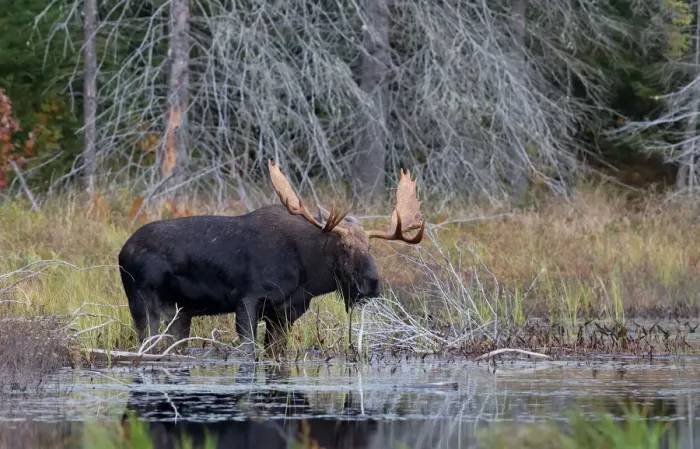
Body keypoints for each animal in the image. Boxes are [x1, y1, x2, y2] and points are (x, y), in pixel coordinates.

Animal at [117, 159, 426, 358]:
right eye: (344, 246)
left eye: (370, 246)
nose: (372, 283)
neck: (306, 275)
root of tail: (122, 251)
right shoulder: (248, 298)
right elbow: (247, 350)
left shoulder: (287, 311)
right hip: (143, 302)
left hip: (179, 312)